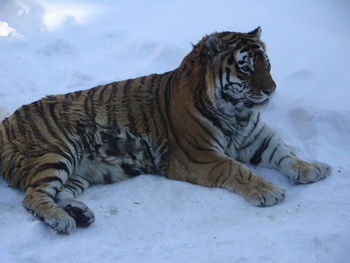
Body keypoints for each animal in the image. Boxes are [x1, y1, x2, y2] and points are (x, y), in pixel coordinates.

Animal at [0, 26, 330, 233]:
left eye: (268, 65)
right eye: (246, 68)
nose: (271, 90)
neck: (237, 113)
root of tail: (5, 123)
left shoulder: (255, 138)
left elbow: (285, 152)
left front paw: (312, 169)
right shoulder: (199, 157)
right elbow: (237, 169)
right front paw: (268, 190)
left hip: (79, 173)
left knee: (56, 193)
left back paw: (79, 214)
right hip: (57, 151)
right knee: (33, 196)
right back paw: (63, 221)